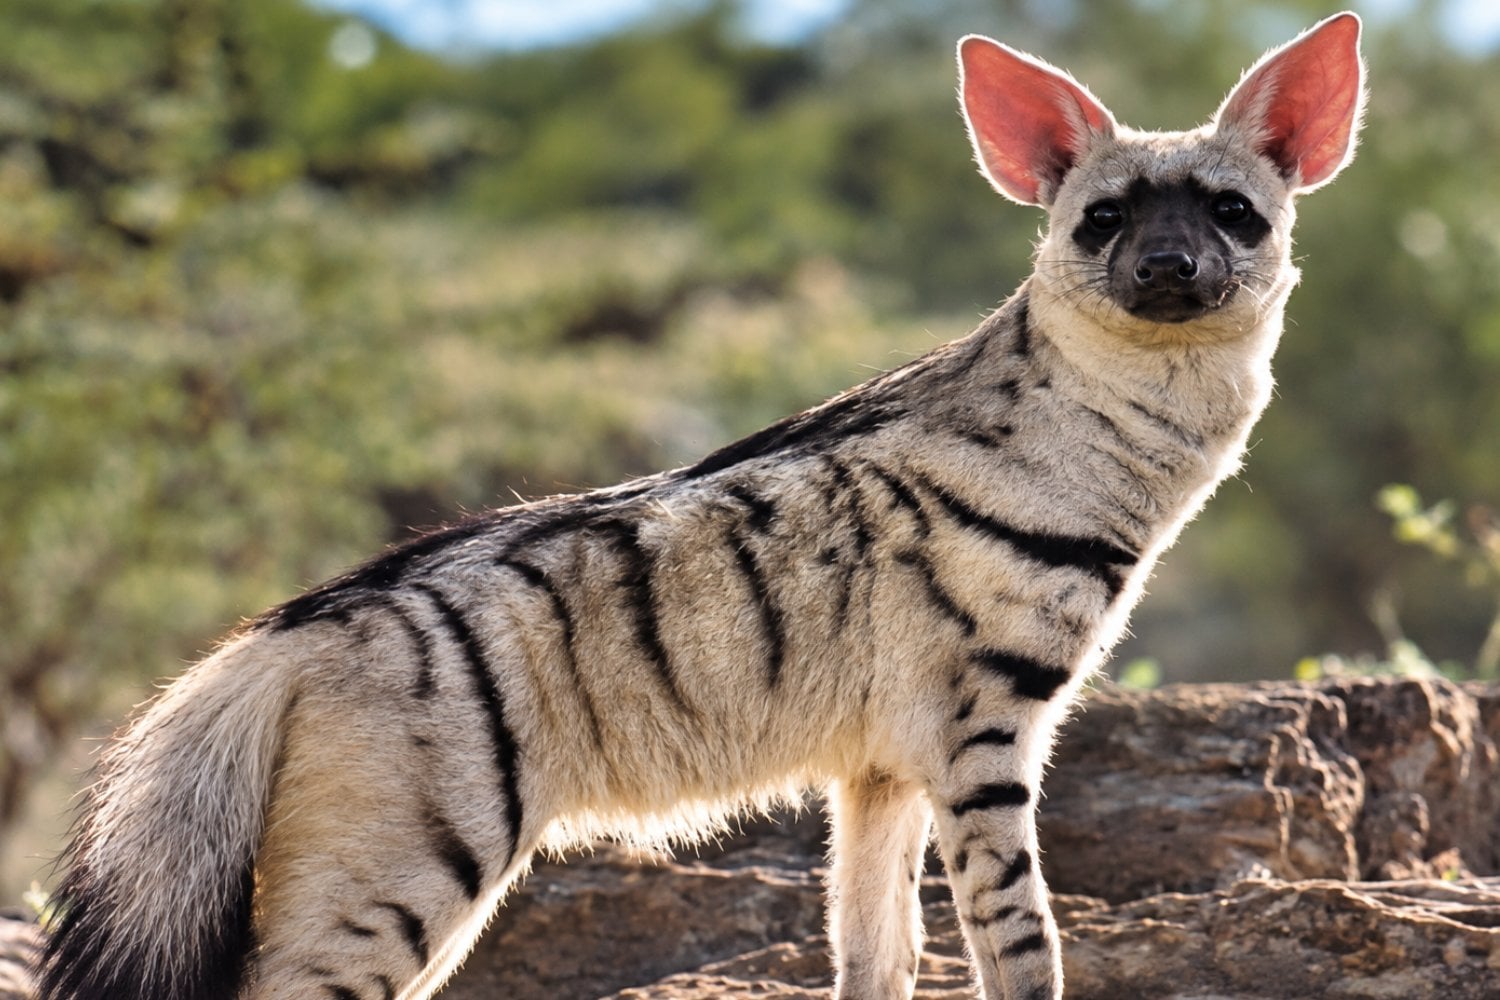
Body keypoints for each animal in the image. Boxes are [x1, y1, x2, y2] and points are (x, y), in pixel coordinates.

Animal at [37, 12, 1364, 1000]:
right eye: (1104, 219)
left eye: (1231, 212)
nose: (1167, 267)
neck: (1113, 451)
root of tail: (281, 635)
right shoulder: (982, 730)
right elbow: (1020, 938)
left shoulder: (879, 764)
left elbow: (876, 949)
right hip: (403, 867)